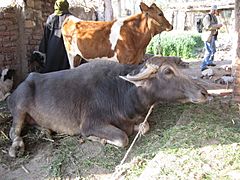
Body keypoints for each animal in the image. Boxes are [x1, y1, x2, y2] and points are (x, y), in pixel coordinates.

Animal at [7, 58, 206, 158]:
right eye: (167, 71)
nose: (203, 92)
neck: (122, 92)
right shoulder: (90, 124)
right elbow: (122, 138)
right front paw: (99, 139)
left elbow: (145, 127)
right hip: (19, 109)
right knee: (13, 132)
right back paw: (16, 147)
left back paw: (46, 131)